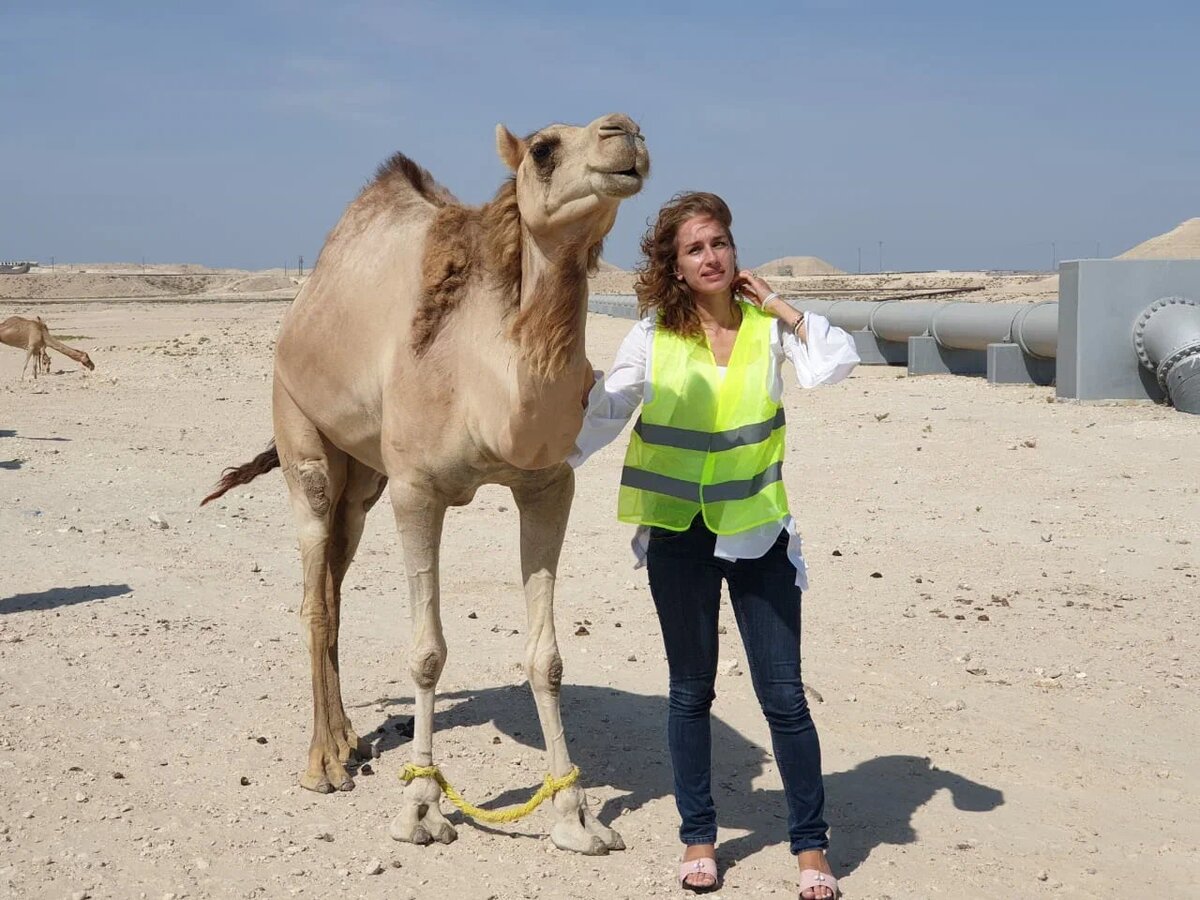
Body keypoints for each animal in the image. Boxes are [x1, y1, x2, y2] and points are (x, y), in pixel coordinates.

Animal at [200, 116, 648, 854]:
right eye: (544, 149)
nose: (627, 134)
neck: (483, 375)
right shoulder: (417, 490)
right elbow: (428, 654)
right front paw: (419, 808)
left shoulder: (547, 485)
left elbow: (547, 658)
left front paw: (575, 815)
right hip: (299, 426)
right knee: (314, 584)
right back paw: (323, 764)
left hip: (365, 479)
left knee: (334, 579)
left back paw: (350, 740)